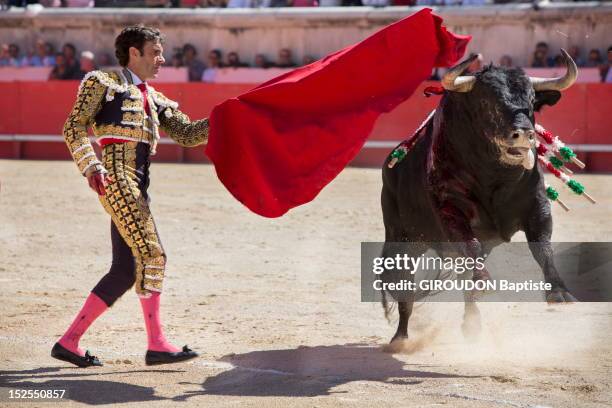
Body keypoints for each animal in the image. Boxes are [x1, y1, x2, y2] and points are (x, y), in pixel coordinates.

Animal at [378, 51, 580, 344]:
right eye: (486, 102)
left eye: (532, 101)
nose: (524, 134)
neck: (494, 175)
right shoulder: (450, 210)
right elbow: (470, 244)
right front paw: (484, 282)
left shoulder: (537, 206)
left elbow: (543, 248)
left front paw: (559, 292)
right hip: (402, 237)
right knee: (404, 286)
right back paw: (400, 339)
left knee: (463, 278)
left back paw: (471, 326)